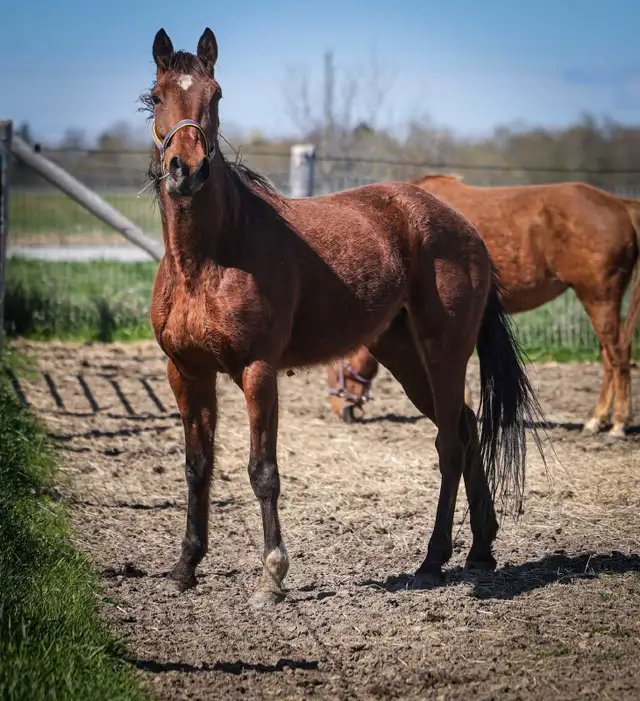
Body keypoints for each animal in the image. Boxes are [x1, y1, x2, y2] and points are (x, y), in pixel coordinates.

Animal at [142, 27, 547, 607]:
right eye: (156, 97)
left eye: (216, 96)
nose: (187, 170)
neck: (209, 258)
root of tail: (463, 226)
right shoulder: (186, 372)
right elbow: (198, 467)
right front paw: (185, 567)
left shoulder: (257, 371)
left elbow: (262, 471)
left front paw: (271, 577)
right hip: (402, 356)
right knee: (467, 428)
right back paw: (480, 551)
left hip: (443, 351)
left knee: (450, 442)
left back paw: (432, 562)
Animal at [329, 175, 640, 439]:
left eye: (337, 366)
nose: (340, 410)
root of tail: (620, 205)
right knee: (610, 356)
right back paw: (600, 420)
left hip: (598, 297)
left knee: (617, 353)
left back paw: (616, 424)